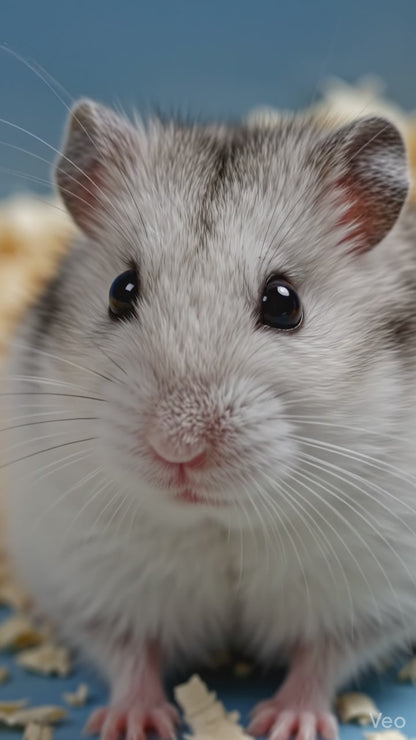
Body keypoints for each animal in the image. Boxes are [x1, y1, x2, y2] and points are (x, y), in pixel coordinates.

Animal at [3, 101, 416, 740]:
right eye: (121, 290)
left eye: (283, 302)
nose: (177, 448)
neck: (220, 524)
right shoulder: (94, 584)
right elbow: (131, 651)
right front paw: (130, 723)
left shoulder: (367, 595)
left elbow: (322, 656)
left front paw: (286, 723)